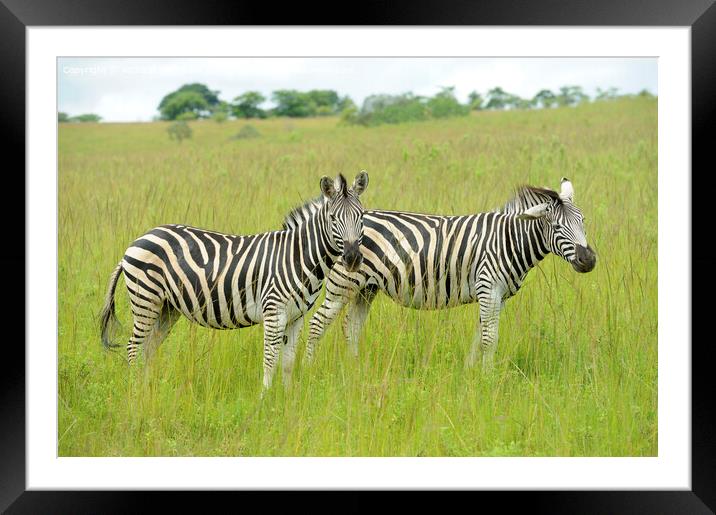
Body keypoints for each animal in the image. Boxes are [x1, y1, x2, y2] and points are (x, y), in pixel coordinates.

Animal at [99, 172, 370, 392]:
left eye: (360, 217)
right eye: (333, 218)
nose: (353, 259)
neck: (297, 256)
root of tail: (139, 239)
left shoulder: (296, 317)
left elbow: (288, 361)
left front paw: (288, 399)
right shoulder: (274, 312)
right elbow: (270, 358)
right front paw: (264, 399)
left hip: (167, 307)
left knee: (148, 347)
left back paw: (149, 390)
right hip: (146, 299)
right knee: (133, 347)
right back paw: (136, 393)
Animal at [300, 178, 596, 370]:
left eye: (582, 221)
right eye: (557, 227)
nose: (589, 260)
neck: (507, 240)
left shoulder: (496, 295)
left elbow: (481, 335)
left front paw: (470, 372)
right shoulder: (489, 287)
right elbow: (490, 338)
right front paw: (488, 378)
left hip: (366, 288)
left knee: (351, 326)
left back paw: (355, 369)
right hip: (343, 282)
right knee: (317, 324)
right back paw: (310, 370)